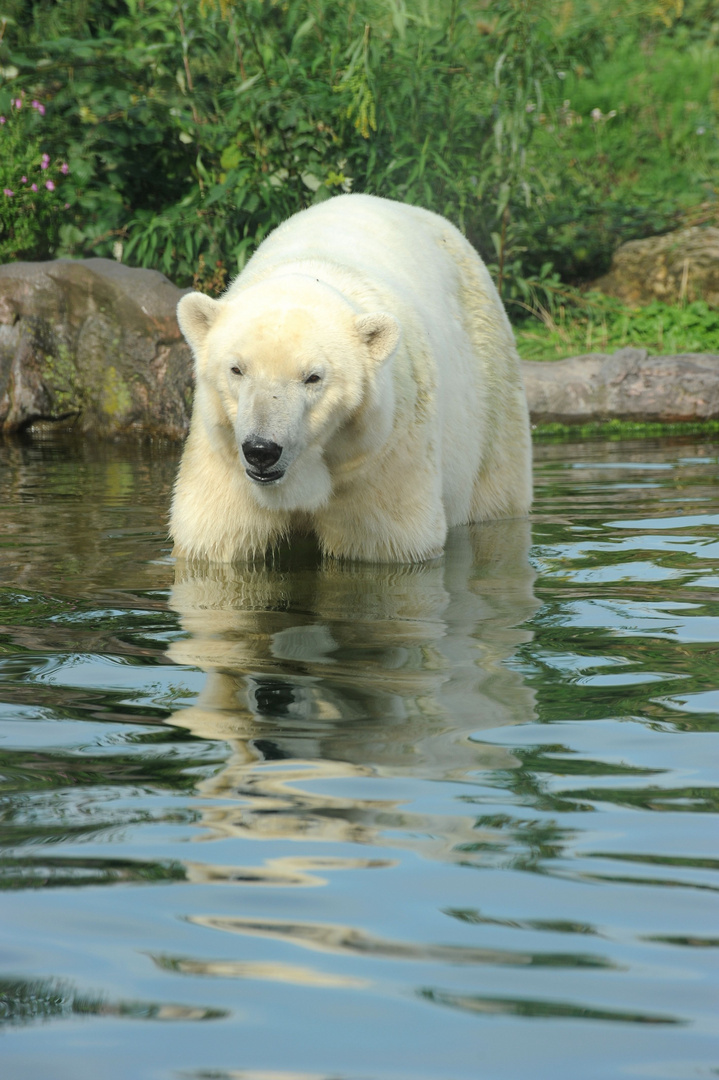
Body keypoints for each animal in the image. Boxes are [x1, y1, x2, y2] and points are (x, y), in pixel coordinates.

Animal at [166, 195, 526, 565]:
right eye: (237, 369)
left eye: (313, 377)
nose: (261, 450)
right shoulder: (223, 459)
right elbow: (215, 536)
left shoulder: (382, 456)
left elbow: (389, 540)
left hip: (491, 388)